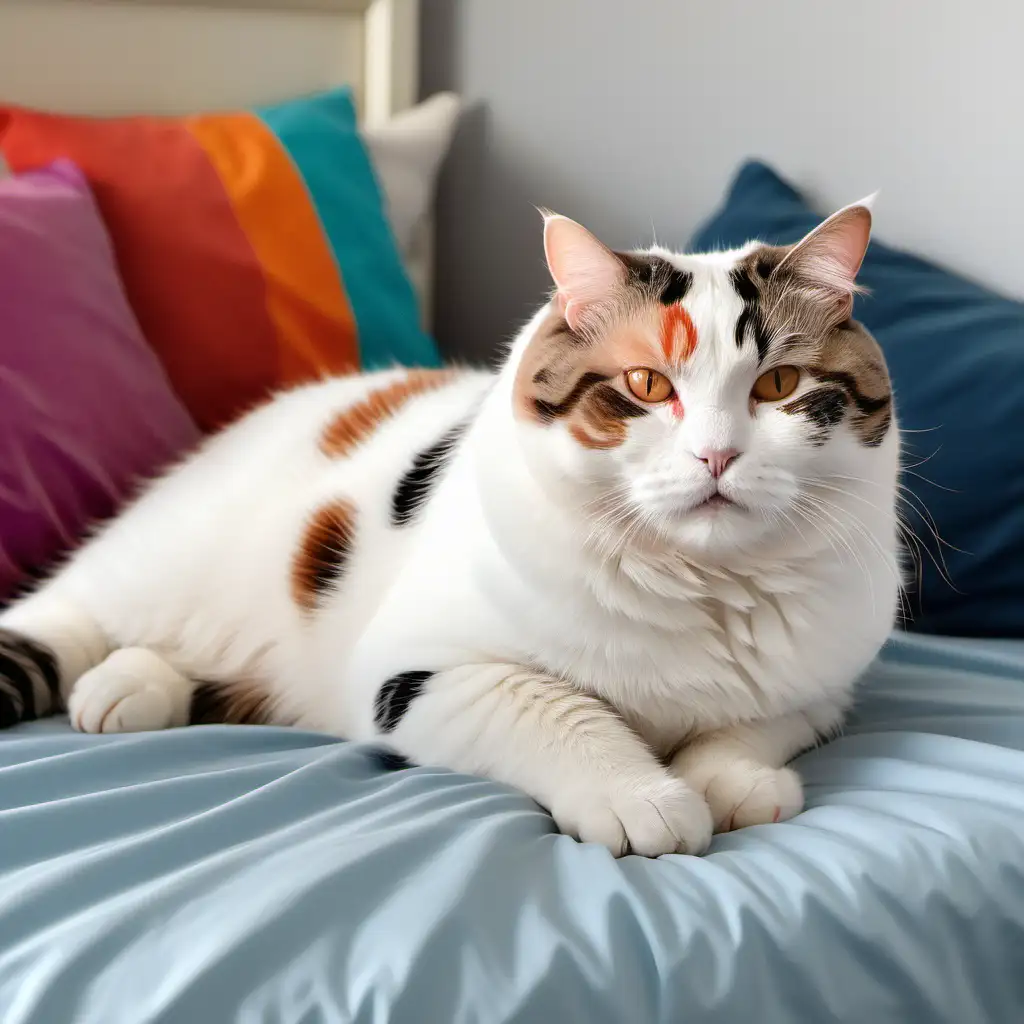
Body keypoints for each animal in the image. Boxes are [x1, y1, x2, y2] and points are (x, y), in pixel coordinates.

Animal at [0, 197, 897, 856]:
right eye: (646, 385)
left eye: (778, 384)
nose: (717, 455)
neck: (702, 584)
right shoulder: (420, 674)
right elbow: (559, 712)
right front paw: (643, 796)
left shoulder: (823, 685)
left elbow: (758, 724)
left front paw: (729, 777)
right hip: (162, 561)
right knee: (67, 614)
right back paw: (103, 680)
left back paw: (129, 687)